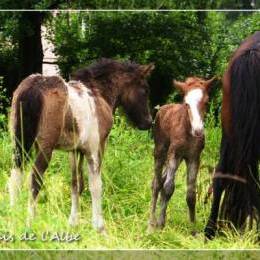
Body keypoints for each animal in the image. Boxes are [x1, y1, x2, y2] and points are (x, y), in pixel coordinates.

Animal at [8, 58, 154, 233]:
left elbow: (76, 184)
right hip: (45, 148)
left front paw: (73, 222)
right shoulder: (96, 146)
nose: (148, 122)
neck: (99, 94)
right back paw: (30, 223)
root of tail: (35, 86)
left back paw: (13, 219)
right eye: (145, 90)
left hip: (19, 143)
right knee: (35, 179)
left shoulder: (75, 150)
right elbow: (96, 185)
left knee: (15, 177)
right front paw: (99, 226)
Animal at [147, 75, 216, 232]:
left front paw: (193, 228)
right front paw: (160, 224)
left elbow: (191, 194)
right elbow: (168, 188)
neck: (188, 133)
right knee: (157, 183)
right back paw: (151, 222)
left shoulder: (194, 157)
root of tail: (161, 109)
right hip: (161, 151)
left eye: (206, 102)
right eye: (186, 104)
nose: (198, 130)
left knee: (161, 180)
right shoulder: (174, 154)